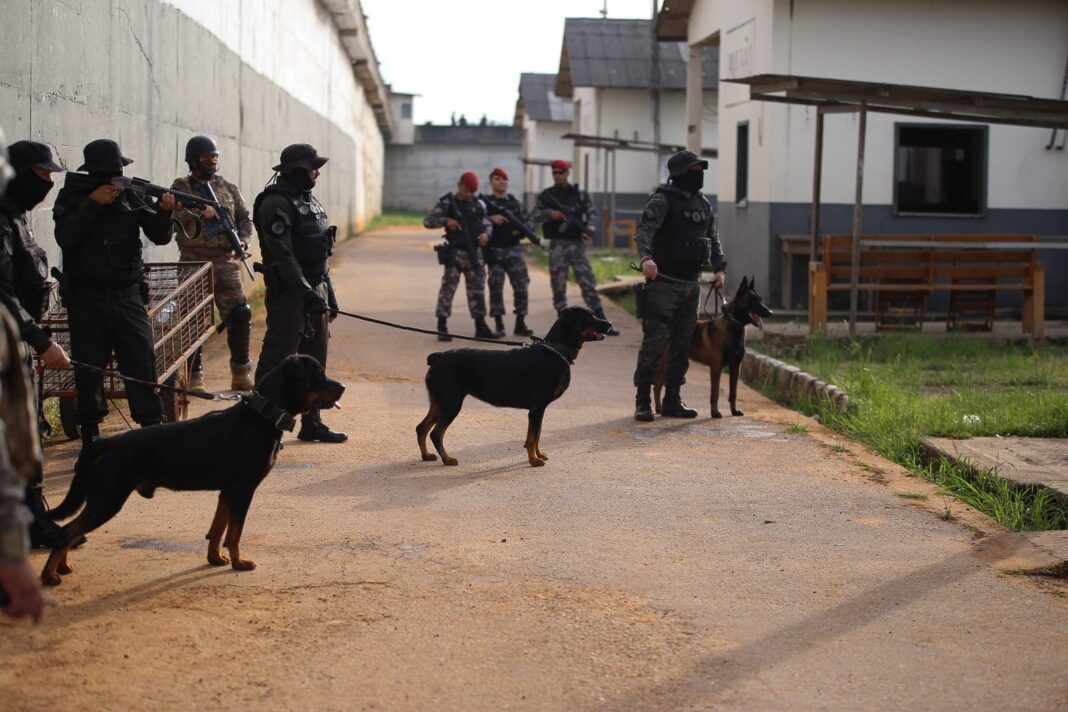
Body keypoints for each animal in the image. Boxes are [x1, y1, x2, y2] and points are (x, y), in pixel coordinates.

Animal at [38, 354, 341, 584]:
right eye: (319, 375)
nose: (343, 387)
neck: (261, 416)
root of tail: (106, 442)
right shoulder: (243, 489)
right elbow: (234, 532)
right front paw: (239, 562)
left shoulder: (227, 490)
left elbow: (218, 528)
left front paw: (215, 558)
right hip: (108, 498)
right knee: (68, 532)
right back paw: (49, 575)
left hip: (103, 498)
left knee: (70, 529)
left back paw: (62, 567)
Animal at [420, 305, 615, 467]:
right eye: (588, 317)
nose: (610, 324)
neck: (556, 350)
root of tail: (438, 357)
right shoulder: (537, 408)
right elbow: (532, 437)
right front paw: (534, 460)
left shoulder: (540, 409)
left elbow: (537, 435)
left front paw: (539, 455)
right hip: (451, 403)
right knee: (436, 433)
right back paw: (447, 459)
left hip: (439, 402)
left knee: (421, 428)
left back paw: (426, 455)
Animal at [653, 275, 773, 418]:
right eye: (752, 301)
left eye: (760, 299)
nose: (770, 312)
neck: (733, 326)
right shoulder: (716, 367)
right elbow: (715, 393)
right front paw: (715, 412)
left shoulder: (736, 366)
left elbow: (733, 392)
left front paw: (734, 411)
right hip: (665, 364)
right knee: (657, 387)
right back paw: (659, 409)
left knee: (659, 386)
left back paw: (661, 409)